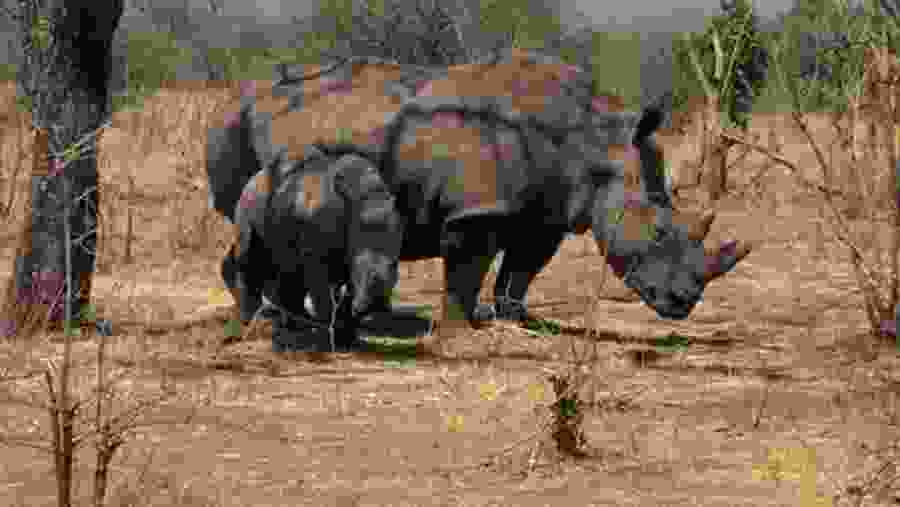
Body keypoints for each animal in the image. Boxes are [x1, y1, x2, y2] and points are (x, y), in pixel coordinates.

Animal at [222, 145, 403, 350]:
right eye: (357, 264)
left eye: (396, 265)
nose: (376, 306)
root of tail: (254, 177)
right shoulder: (321, 256)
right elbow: (324, 296)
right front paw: (332, 343)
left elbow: (346, 295)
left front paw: (348, 341)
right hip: (248, 201)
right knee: (249, 255)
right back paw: (252, 326)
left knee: (287, 269)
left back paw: (296, 327)